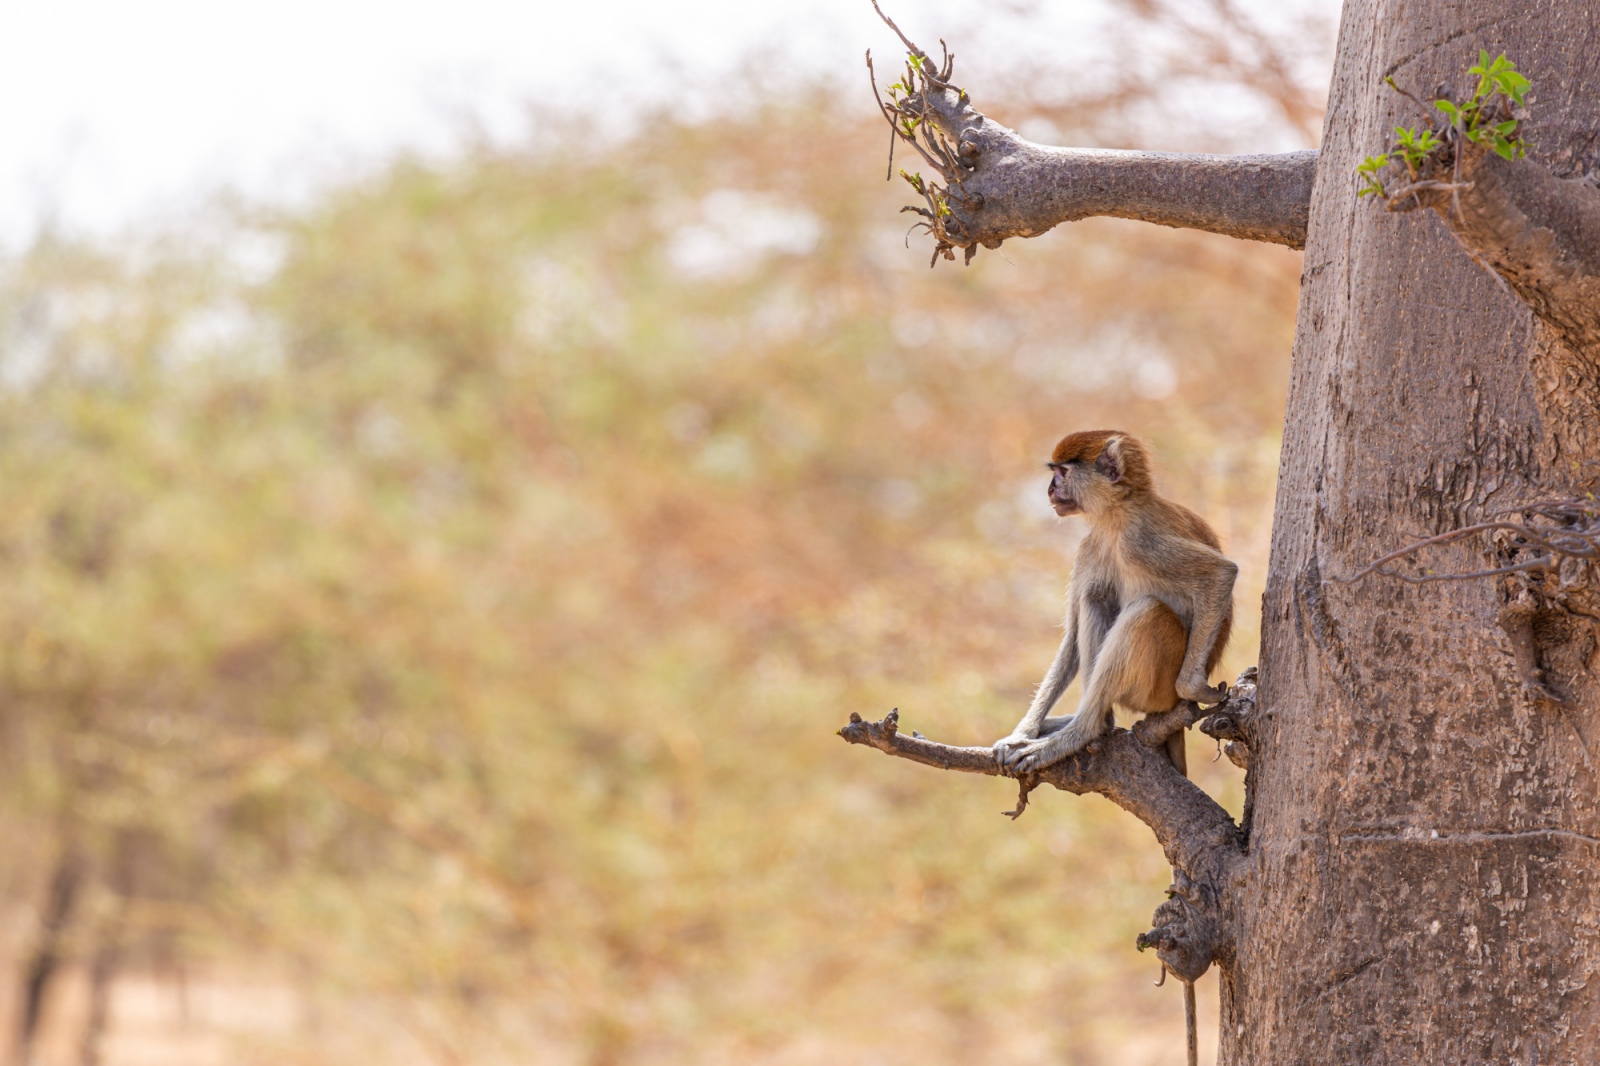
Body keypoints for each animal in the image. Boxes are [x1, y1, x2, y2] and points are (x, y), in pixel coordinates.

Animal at [992, 431, 1236, 776]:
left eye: (1062, 473)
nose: (1050, 489)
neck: (1117, 515)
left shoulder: (1140, 541)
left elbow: (1221, 574)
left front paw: (1194, 689)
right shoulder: (1091, 547)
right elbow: (1072, 636)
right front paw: (1022, 732)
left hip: (1158, 690)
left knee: (1146, 612)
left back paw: (1084, 730)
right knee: (1095, 597)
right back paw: (1095, 724)